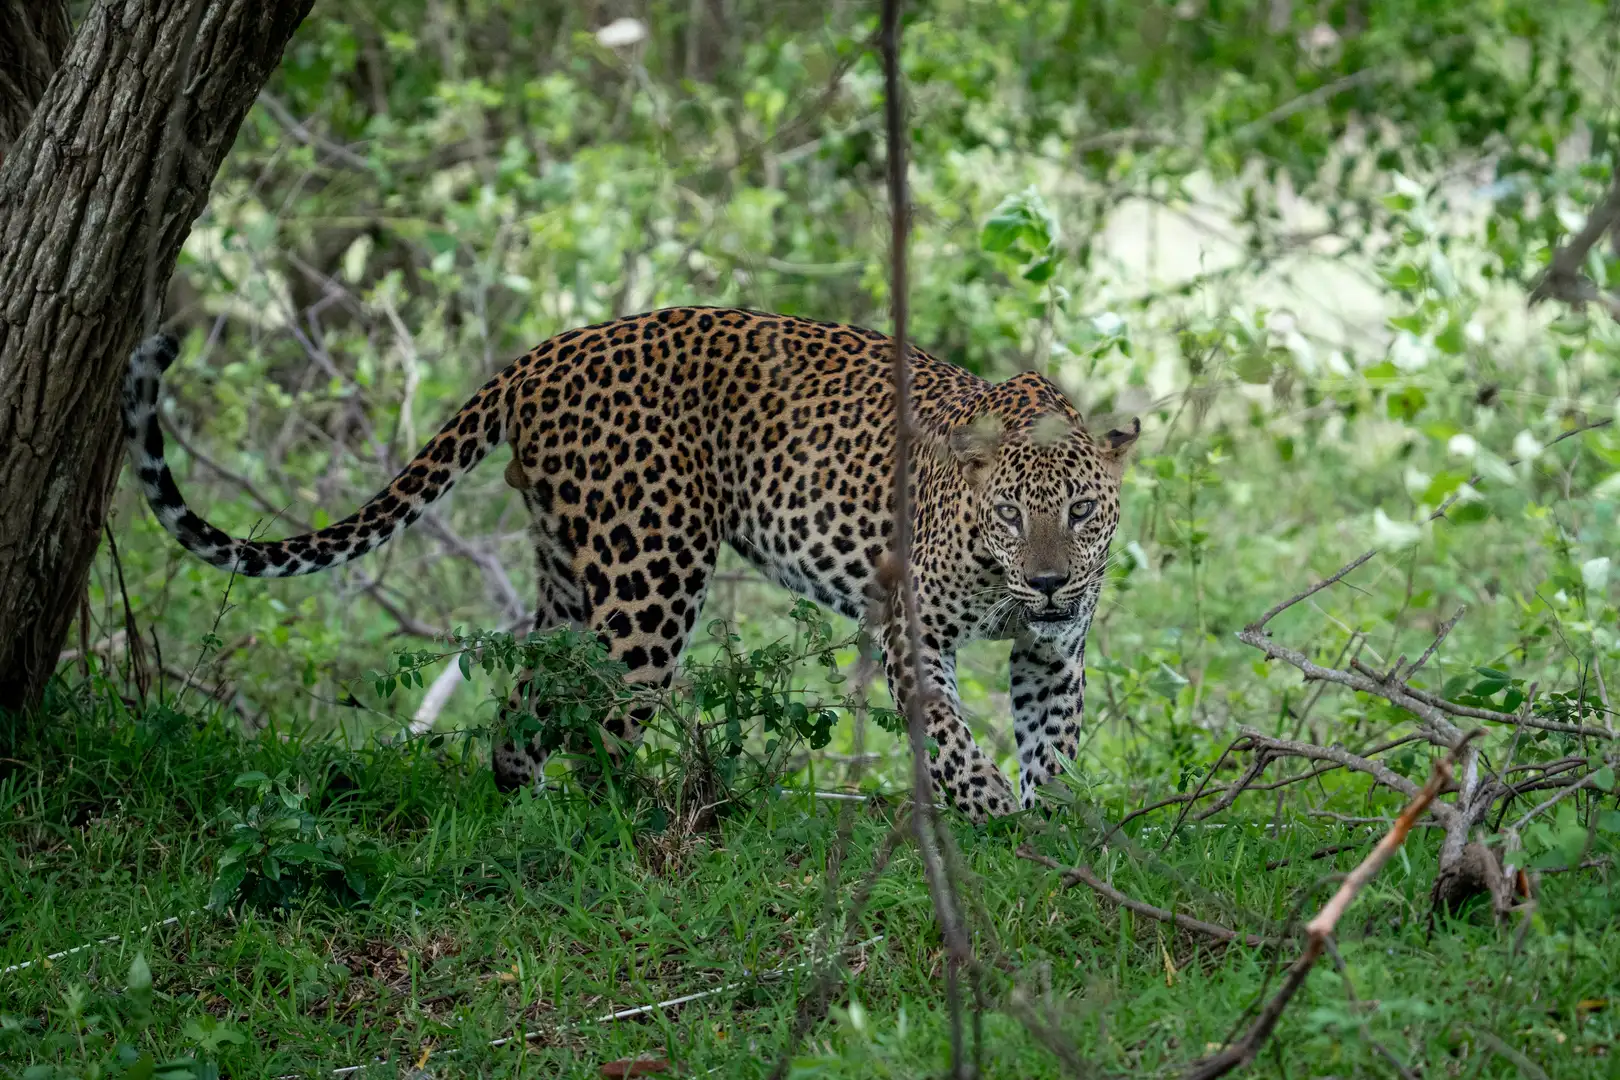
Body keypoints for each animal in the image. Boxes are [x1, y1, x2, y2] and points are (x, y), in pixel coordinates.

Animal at [122, 307, 1138, 822]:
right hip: (653, 573)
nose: (1050, 583)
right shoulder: (911, 627)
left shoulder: (1052, 653)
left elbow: (1055, 738)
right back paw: (653, 821)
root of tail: (540, 354)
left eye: (1082, 515)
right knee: (601, 727)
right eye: (1009, 515)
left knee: (530, 698)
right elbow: (951, 734)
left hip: (572, 572)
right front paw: (989, 807)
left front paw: (1049, 824)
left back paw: (524, 811)